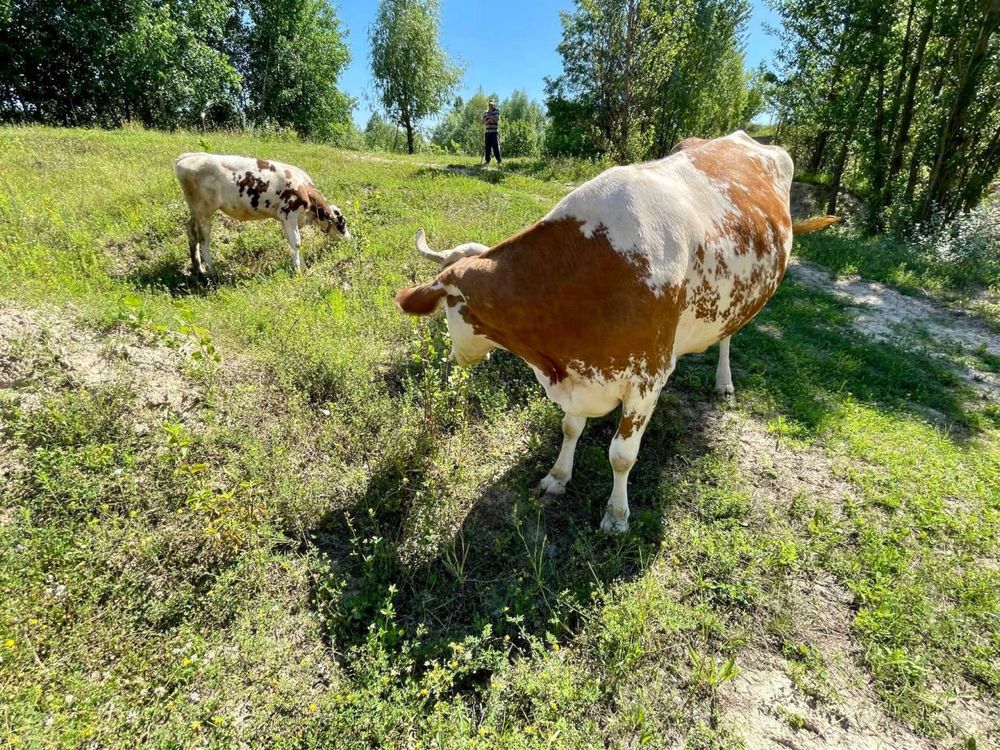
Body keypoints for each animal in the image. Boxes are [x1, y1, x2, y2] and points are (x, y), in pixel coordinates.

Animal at [176, 154, 352, 278]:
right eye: (342, 223)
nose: (350, 239)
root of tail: (186, 157)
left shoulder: (285, 219)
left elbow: (291, 242)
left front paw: (300, 266)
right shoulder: (290, 214)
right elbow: (297, 243)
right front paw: (298, 270)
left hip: (195, 212)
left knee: (191, 233)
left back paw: (198, 268)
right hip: (204, 211)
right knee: (203, 240)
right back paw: (212, 271)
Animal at [390, 132, 836, 536]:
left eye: (447, 310)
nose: (454, 358)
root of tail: (749, 138)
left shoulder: (645, 377)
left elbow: (621, 455)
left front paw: (617, 515)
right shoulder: (582, 370)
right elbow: (570, 428)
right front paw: (557, 477)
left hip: (738, 300)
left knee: (727, 336)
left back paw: (724, 382)